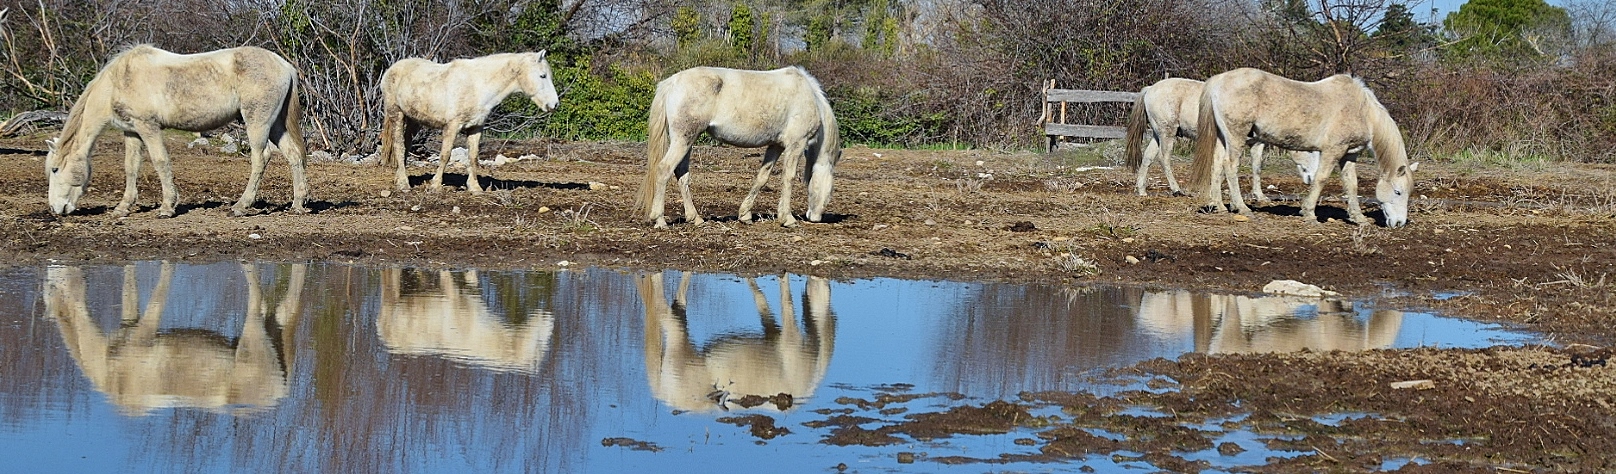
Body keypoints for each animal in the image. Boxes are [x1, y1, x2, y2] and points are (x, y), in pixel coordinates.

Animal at [48, 44, 305, 215]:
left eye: (54, 169)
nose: (55, 209)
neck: (120, 81)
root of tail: (285, 66)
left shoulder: (148, 127)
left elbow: (160, 161)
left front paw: (167, 206)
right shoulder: (132, 132)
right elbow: (131, 167)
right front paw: (123, 207)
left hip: (257, 122)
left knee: (261, 157)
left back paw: (241, 206)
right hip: (276, 125)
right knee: (293, 155)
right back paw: (298, 204)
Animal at [378, 50, 562, 192]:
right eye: (542, 76)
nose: (554, 104)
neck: (477, 85)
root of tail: (392, 70)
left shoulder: (476, 128)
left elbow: (473, 157)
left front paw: (475, 187)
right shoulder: (452, 126)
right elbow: (445, 155)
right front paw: (435, 186)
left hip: (413, 120)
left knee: (407, 145)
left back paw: (399, 178)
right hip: (396, 113)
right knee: (399, 146)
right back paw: (404, 184)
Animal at [633, 65, 840, 226]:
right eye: (830, 191)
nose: (815, 217)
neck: (809, 96)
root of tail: (671, 82)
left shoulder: (776, 146)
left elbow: (762, 177)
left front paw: (745, 214)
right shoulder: (796, 144)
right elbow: (788, 178)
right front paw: (787, 218)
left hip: (686, 141)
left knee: (682, 174)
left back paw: (695, 218)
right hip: (682, 140)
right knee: (664, 169)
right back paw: (659, 219)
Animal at [1124, 76, 1325, 198]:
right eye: (1311, 151)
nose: (1313, 177)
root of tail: (1151, 88)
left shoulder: (1257, 143)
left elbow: (1256, 167)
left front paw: (1260, 196)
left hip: (1158, 134)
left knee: (1148, 158)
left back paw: (1142, 190)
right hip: (1168, 133)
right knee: (1163, 158)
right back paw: (1176, 189)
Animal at [1182, 66, 1422, 226]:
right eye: (1398, 191)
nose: (1399, 223)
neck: (1361, 110)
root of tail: (1218, 80)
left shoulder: (1349, 156)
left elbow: (1351, 185)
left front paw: (1358, 217)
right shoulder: (1332, 151)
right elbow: (1321, 179)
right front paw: (1309, 213)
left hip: (1224, 137)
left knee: (1216, 166)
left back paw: (1220, 206)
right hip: (1236, 136)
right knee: (1230, 167)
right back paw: (1241, 207)